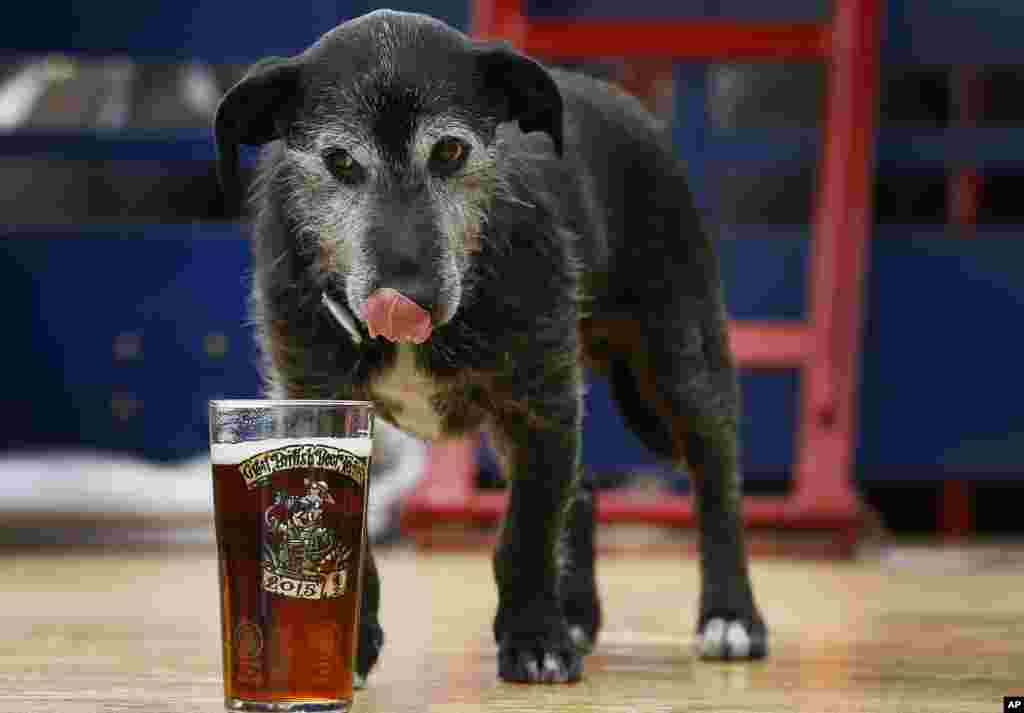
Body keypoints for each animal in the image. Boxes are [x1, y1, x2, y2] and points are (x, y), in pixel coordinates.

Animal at [211, 6, 765, 684]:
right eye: (339, 161)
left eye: (450, 150)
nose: (409, 295)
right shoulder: (319, 399)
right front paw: (347, 644)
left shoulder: (537, 404)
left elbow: (525, 533)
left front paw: (534, 640)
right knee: (581, 489)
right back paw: (577, 614)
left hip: (679, 360)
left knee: (717, 484)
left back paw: (729, 616)